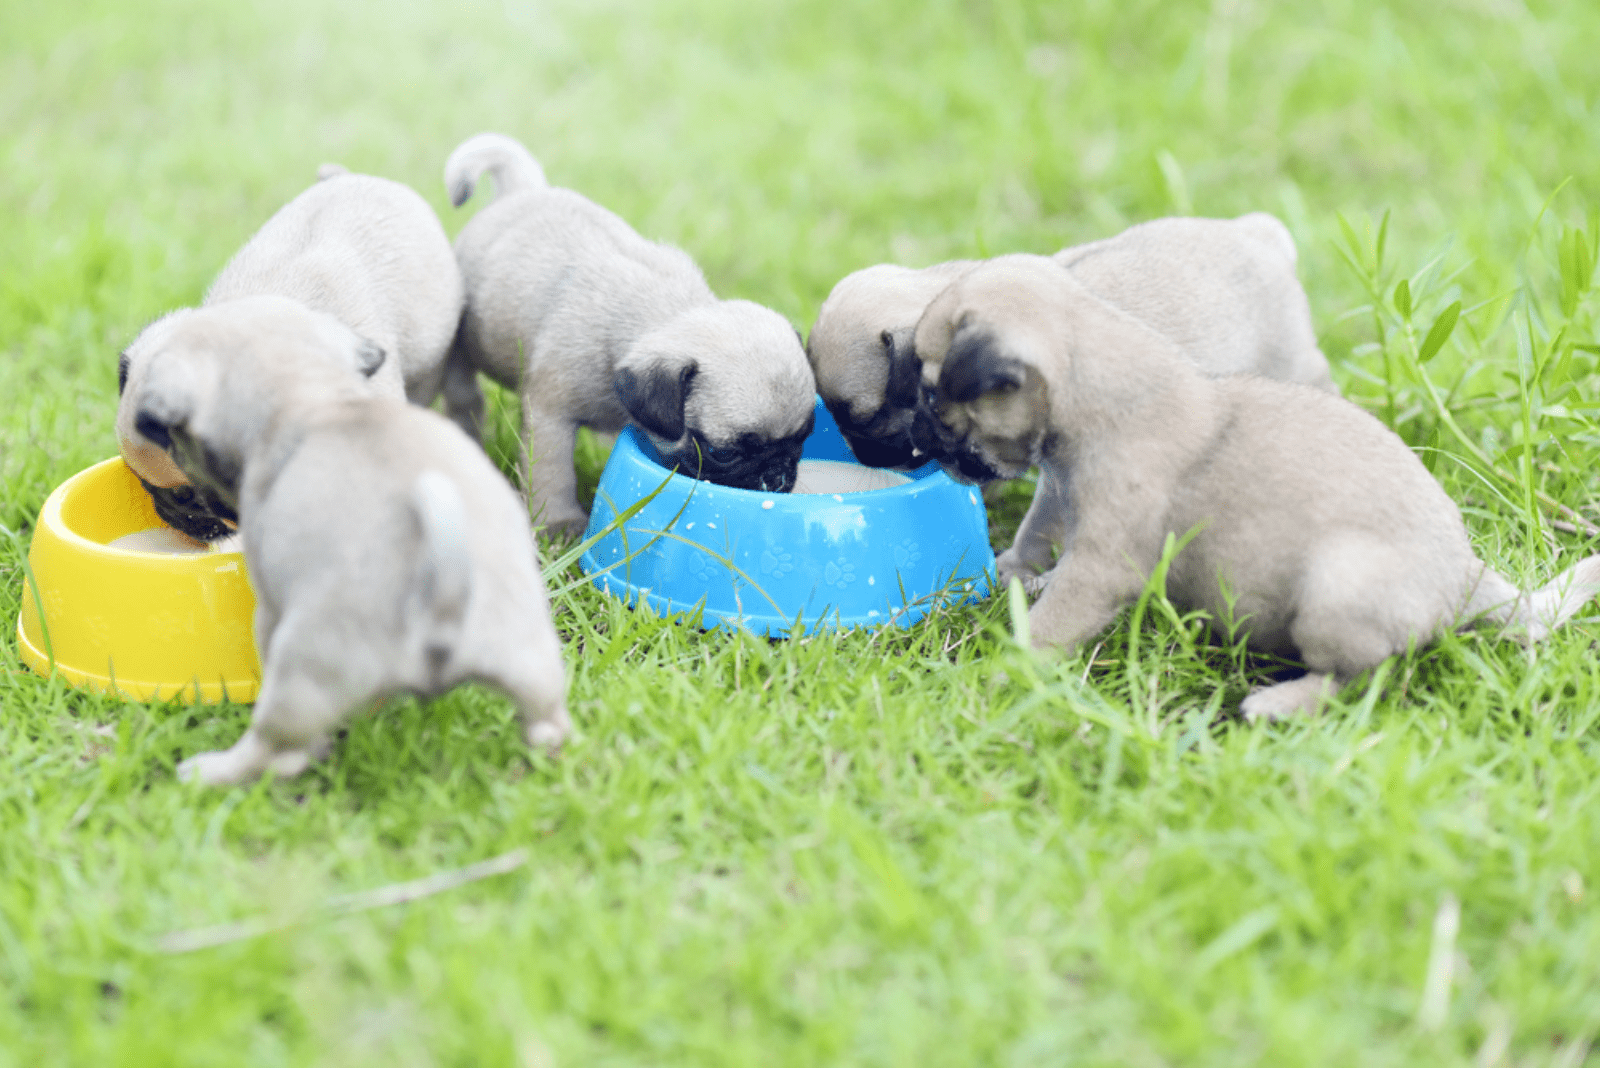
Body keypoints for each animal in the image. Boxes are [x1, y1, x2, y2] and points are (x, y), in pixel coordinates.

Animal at [126, 295, 576, 789]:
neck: (321, 400)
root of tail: (442, 602)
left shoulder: (271, 604)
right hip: (527, 657)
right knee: (548, 722)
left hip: (304, 680)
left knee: (280, 750)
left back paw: (213, 771)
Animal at [444, 133, 819, 534]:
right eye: (723, 454)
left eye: (803, 438)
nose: (777, 475)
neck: (668, 312)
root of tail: (523, 189)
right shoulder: (551, 417)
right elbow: (552, 475)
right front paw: (560, 522)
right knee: (463, 397)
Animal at [915, 254, 1600, 716]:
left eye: (933, 394)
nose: (922, 434)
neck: (1095, 383)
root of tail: (1464, 579)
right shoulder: (1068, 506)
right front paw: (1021, 582)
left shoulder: (1103, 568)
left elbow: (1053, 623)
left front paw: (1001, 674)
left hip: (1333, 594)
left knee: (1368, 674)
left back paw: (1281, 703)